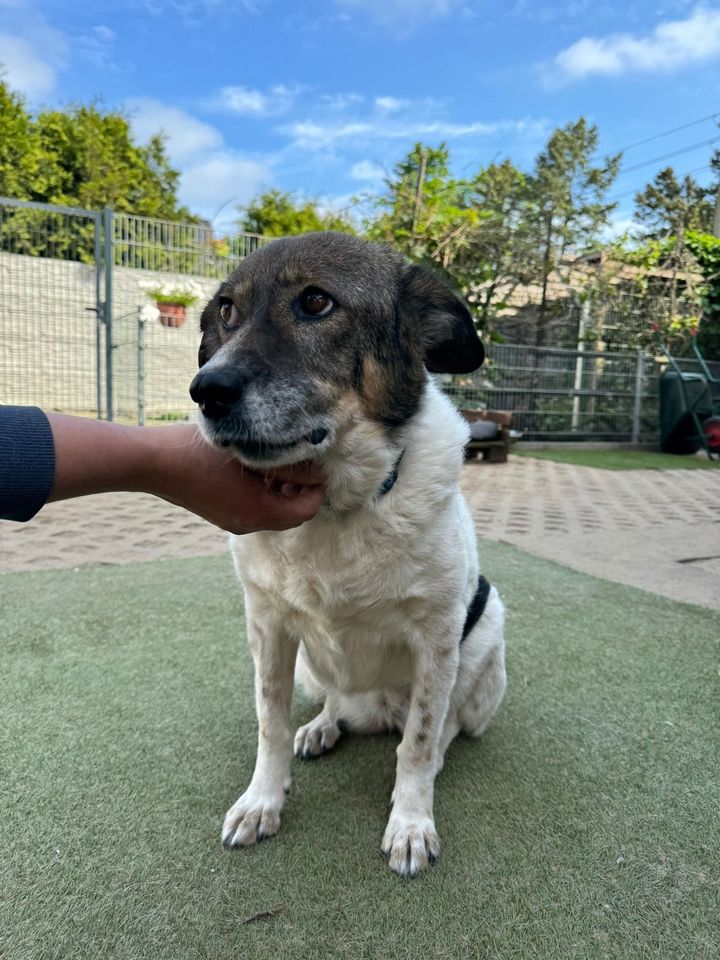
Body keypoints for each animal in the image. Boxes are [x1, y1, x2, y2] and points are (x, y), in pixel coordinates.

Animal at [191, 232, 506, 876]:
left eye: (316, 302)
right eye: (227, 311)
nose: (205, 390)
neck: (335, 509)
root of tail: (378, 708)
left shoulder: (437, 641)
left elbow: (417, 746)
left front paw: (410, 823)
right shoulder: (267, 628)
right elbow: (269, 722)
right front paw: (263, 801)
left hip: (485, 644)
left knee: (442, 727)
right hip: (313, 670)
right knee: (335, 702)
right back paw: (323, 727)